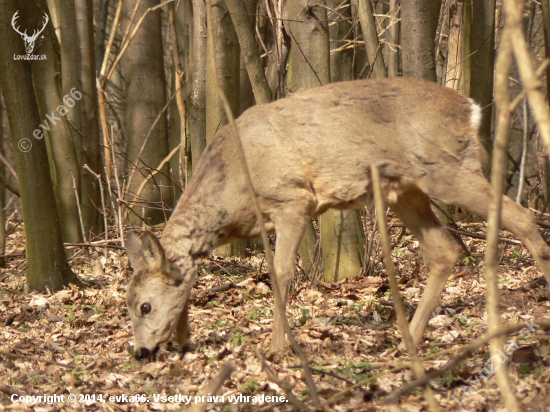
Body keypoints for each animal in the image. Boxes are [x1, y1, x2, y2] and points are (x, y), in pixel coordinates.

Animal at [124, 76, 550, 360]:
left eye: (145, 306)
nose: (141, 352)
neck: (231, 193)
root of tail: (469, 108)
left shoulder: (292, 199)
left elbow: (281, 274)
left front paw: (276, 349)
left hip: (447, 169)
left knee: (522, 216)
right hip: (405, 190)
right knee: (445, 249)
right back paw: (407, 339)